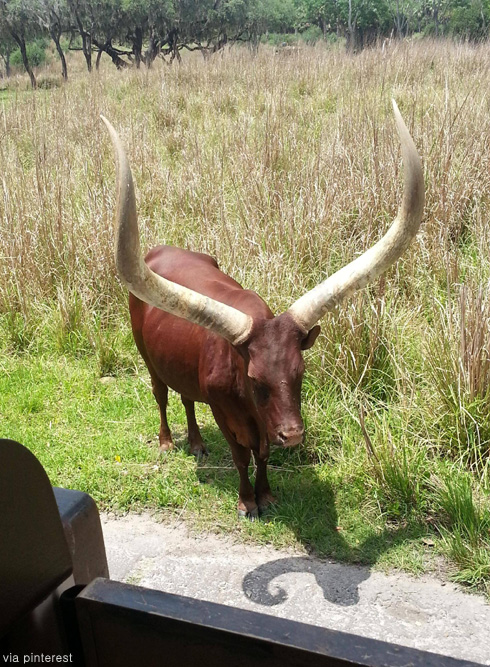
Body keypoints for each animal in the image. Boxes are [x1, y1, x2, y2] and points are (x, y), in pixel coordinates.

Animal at [101, 103, 424, 520]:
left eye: (300, 372)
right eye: (255, 379)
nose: (294, 434)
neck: (248, 403)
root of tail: (159, 250)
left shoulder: (264, 424)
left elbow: (264, 454)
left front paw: (266, 494)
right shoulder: (225, 413)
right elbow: (241, 456)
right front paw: (247, 501)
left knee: (186, 397)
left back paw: (197, 443)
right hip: (146, 356)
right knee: (161, 394)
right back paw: (168, 441)